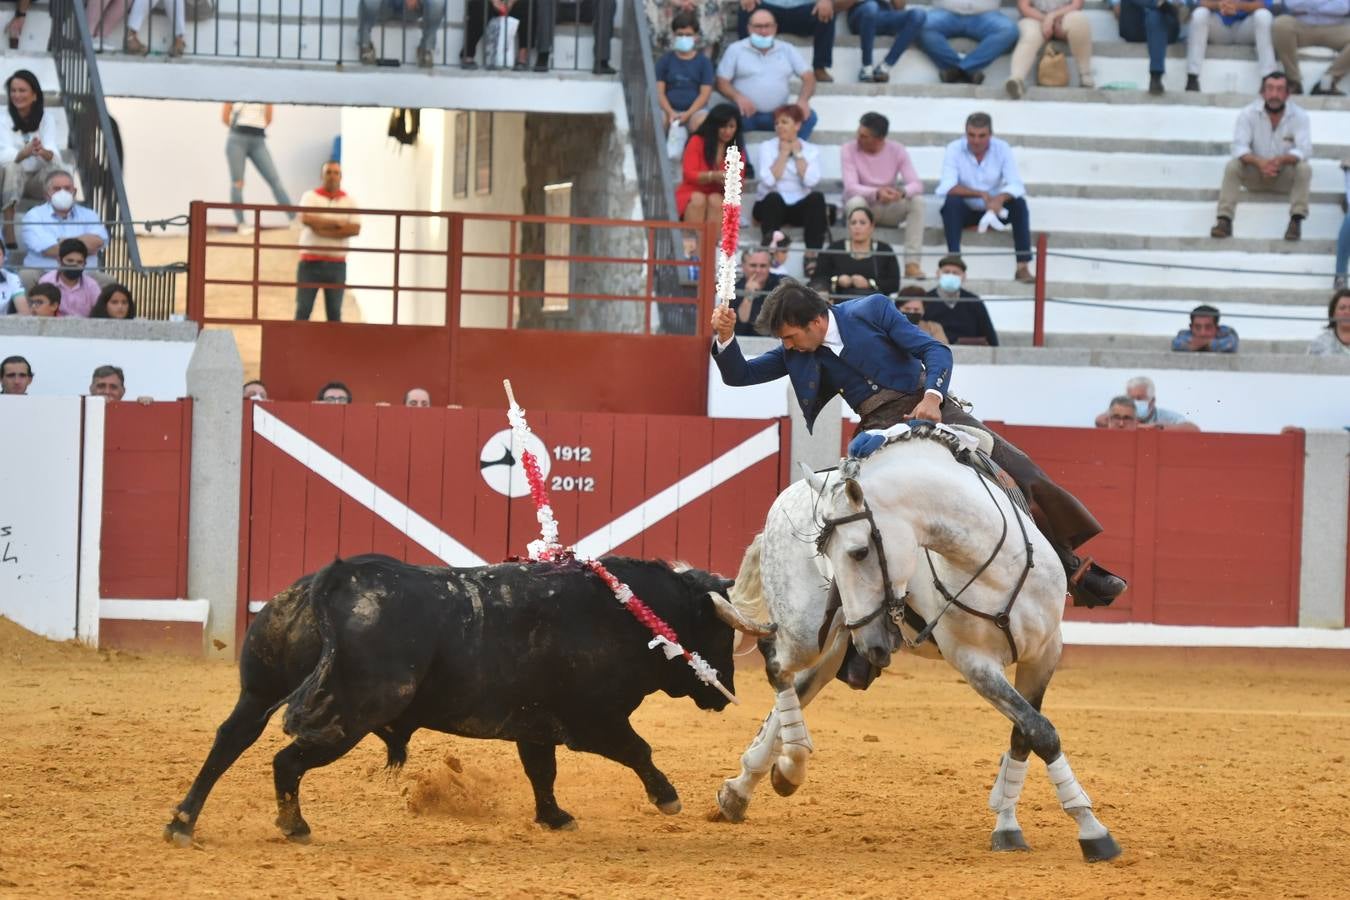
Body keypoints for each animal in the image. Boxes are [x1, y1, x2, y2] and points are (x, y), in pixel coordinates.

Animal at [163, 555, 772, 847]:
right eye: (719, 634)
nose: (726, 693)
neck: (628, 613)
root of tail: (337, 580)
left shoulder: (536, 724)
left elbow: (541, 772)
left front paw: (554, 818)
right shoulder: (593, 721)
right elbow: (639, 751)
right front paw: (667, 799)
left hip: (259, 692)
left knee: (230, 742)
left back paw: (183, 822)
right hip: (350, 715)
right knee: (285, 761)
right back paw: (294, 827)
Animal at [718, 426, 1117, 863]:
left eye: (859, 551)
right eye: (826, 552)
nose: (873, 647)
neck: (994, 564)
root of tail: (787, 495)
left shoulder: (1044, 653)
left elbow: (1025, 733)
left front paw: (1008, 824)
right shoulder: (975, 664)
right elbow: (1040, 730)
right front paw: (1092, 830)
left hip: (840, 638)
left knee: (800, 684)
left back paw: (744, 787)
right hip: (814, 630)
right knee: (777, 664)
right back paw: (788, 765)